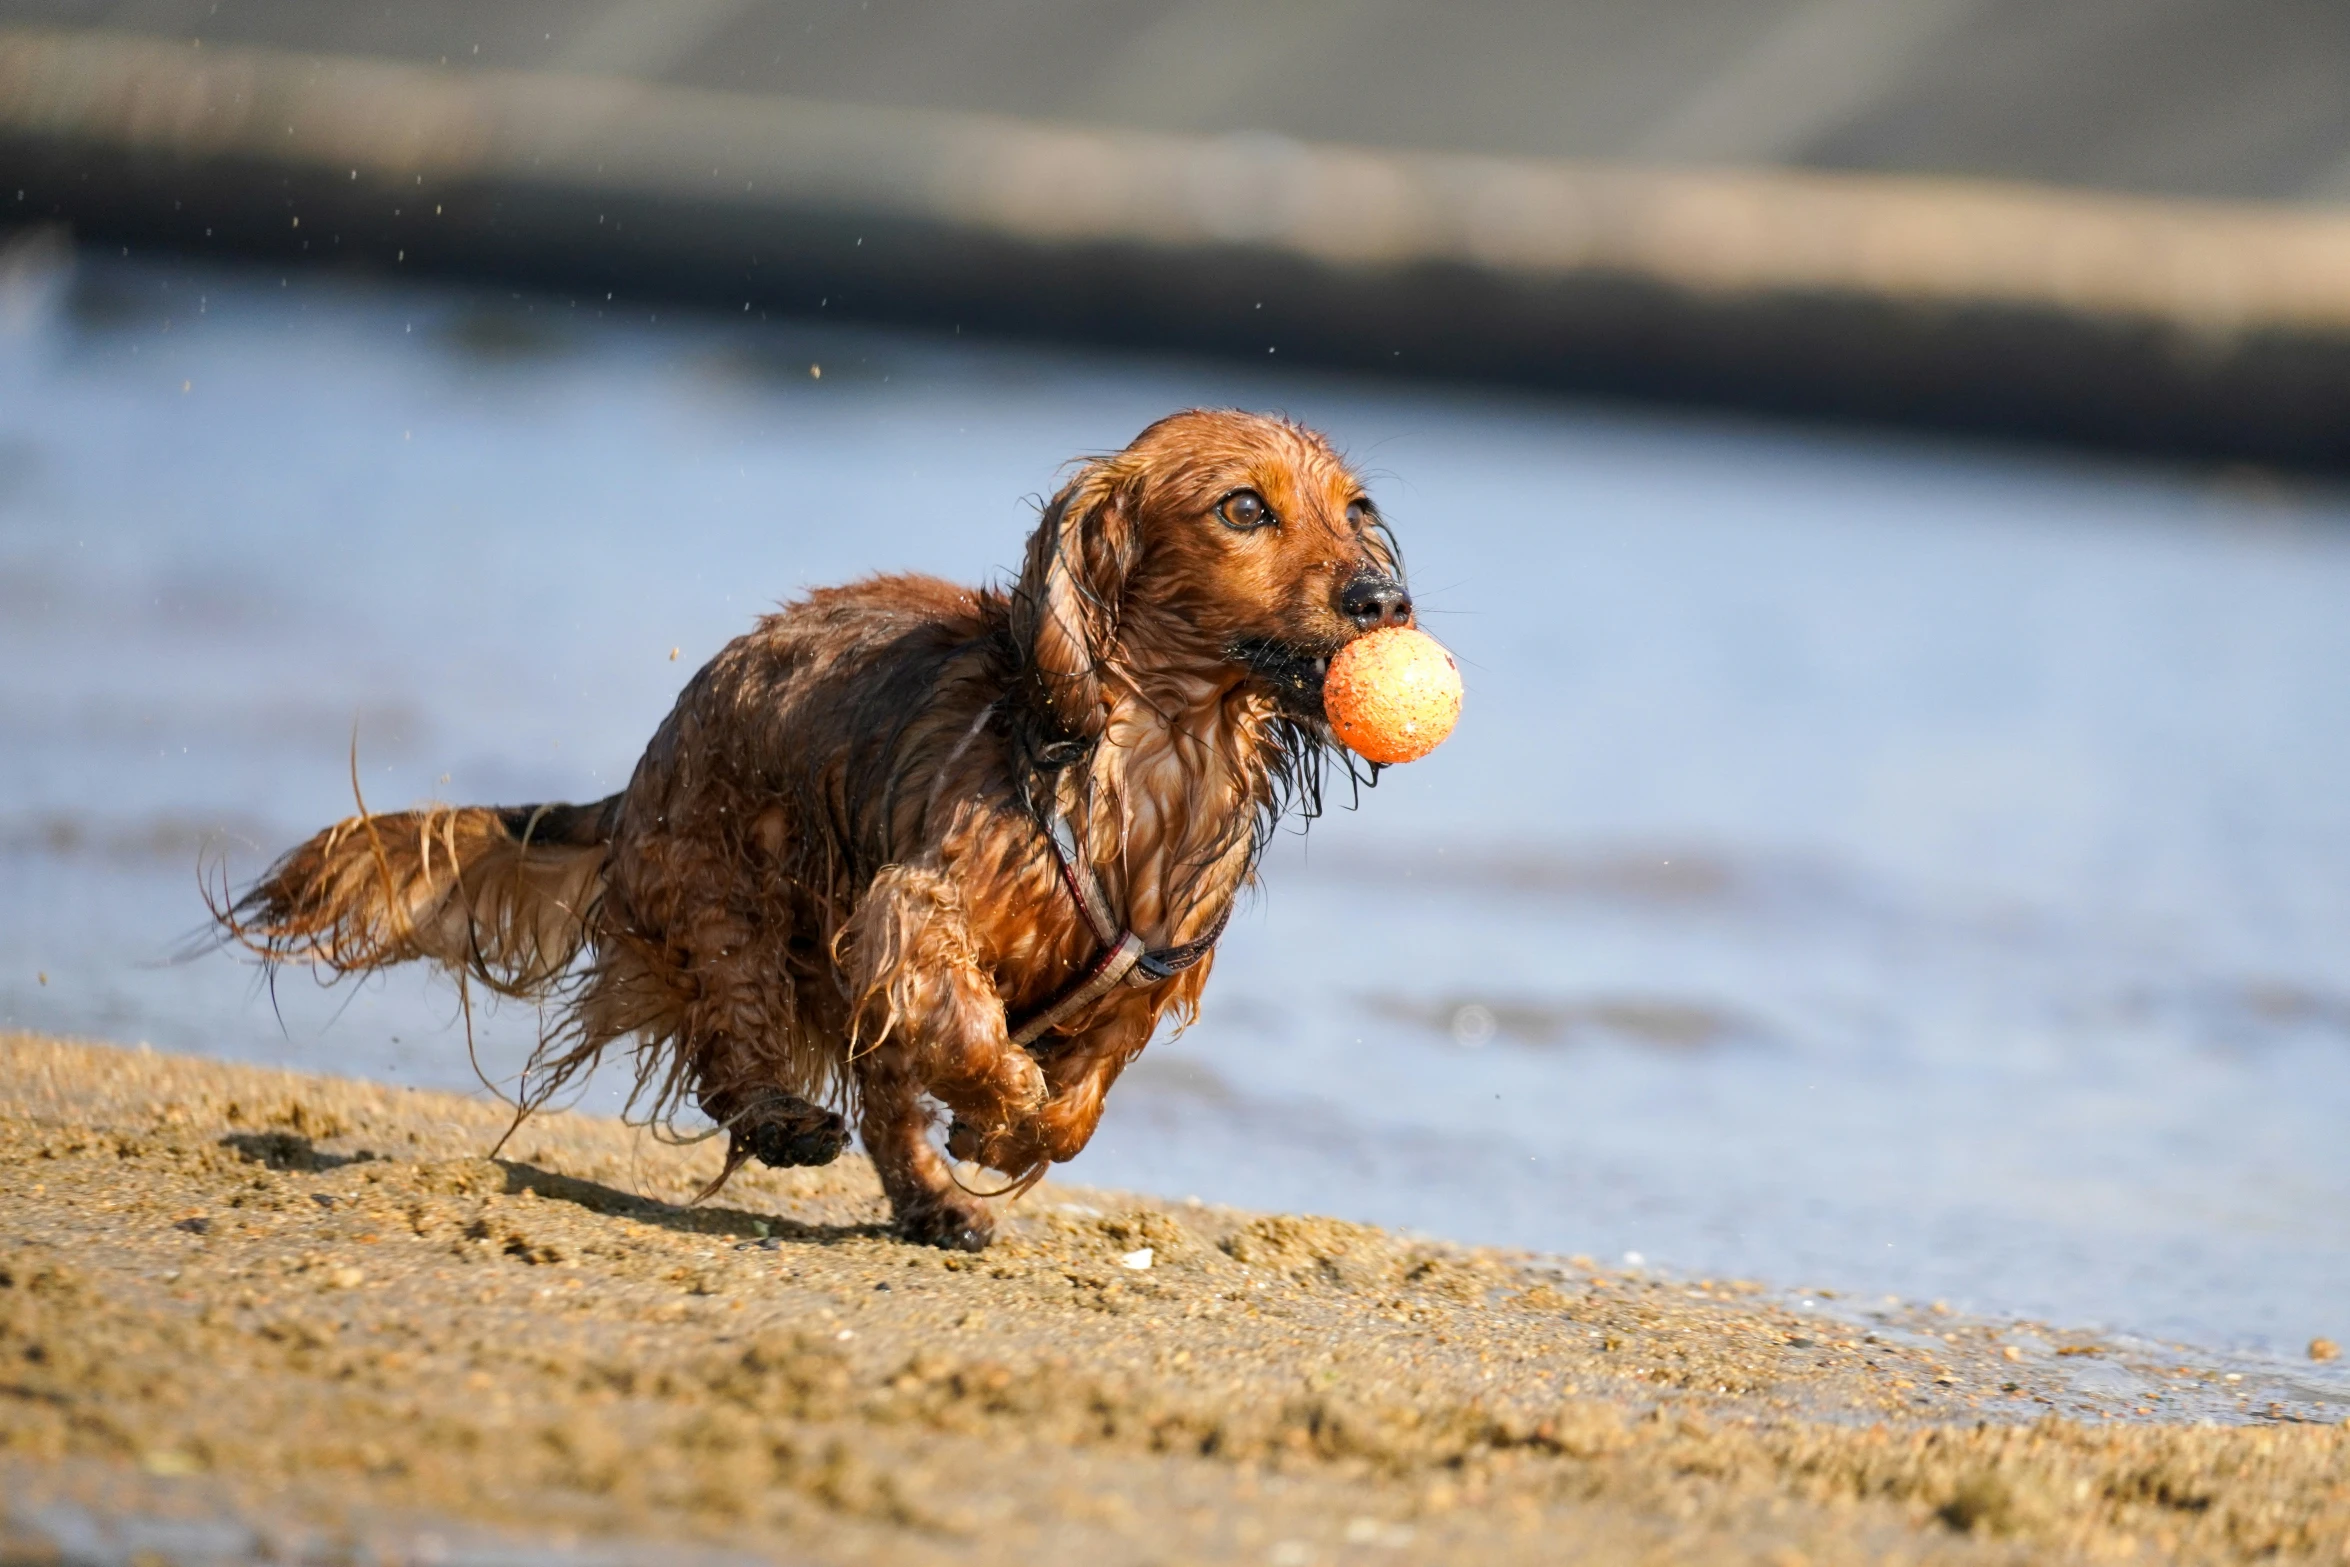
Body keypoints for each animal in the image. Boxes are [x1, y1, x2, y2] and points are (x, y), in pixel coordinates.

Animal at [224, 411, 1410, 1259]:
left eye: (1355, 507)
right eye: (1243, 508)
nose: (1384, 599)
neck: (1153, 747)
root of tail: (642, 770)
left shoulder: (1138, 985)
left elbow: (1077, 1107)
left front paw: (1004, 1132)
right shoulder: (911, 910)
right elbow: (970, 1029)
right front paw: (999, 1101)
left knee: (879, 1104)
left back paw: (935, 1200)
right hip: (728, 900)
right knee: (731, 1053)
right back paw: (785, 1119)